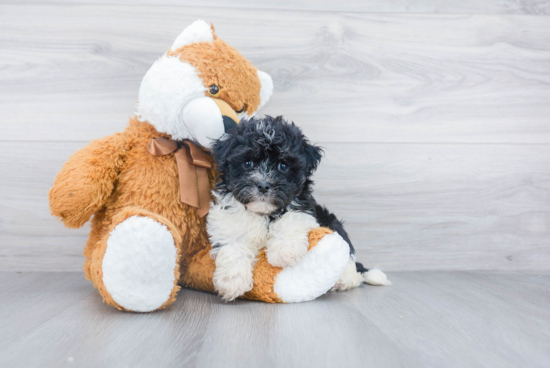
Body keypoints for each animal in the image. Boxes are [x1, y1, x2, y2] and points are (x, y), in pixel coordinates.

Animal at [207, 116, 392, 300]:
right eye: (247, 163)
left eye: (283, 166)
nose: (263, 185)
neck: (264, 212)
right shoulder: (228, 220)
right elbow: (233, 245)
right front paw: (232, 281)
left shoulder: (303, 206)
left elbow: (290, 219)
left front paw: (284, 251)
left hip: (332, 222)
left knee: (351, 263)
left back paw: (342, 280)